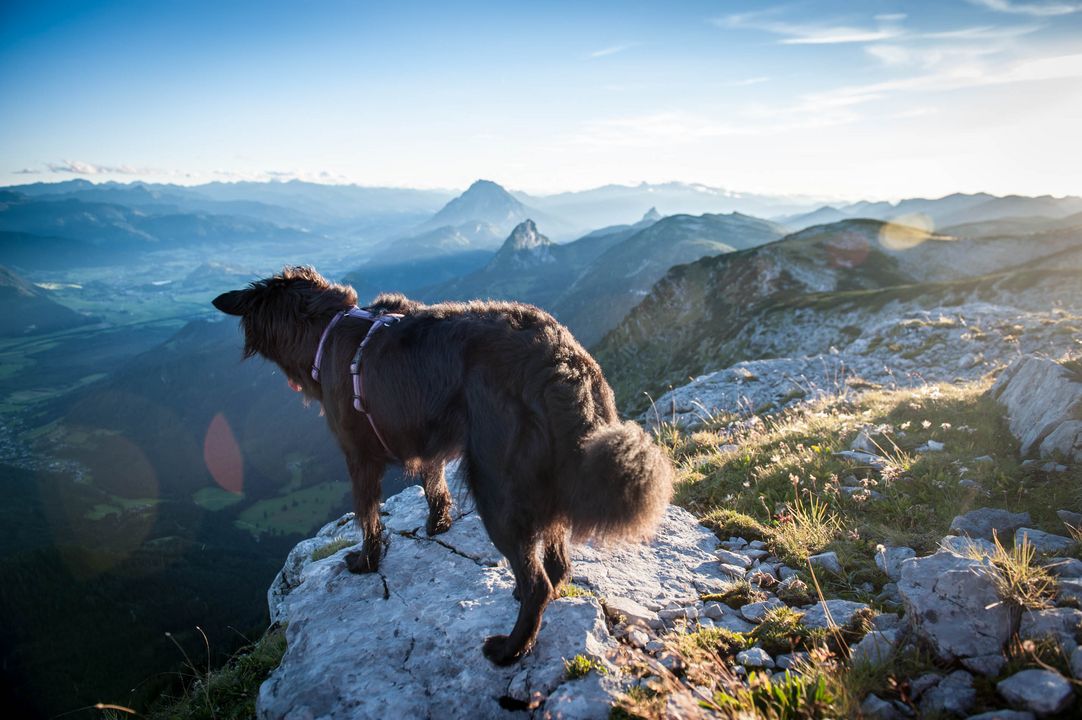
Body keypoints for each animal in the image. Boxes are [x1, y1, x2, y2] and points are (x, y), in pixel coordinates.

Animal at [210, 266, 670, 666]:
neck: (328, 329)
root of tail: (561, 360)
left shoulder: (358, 457)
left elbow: (367, 517)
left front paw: (366, 562)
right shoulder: (427, 443)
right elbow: (434, 484)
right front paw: (437, 525)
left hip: (497, 488)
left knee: (537, 579)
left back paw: (512, 648)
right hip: (545, 479)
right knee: (556, 562)